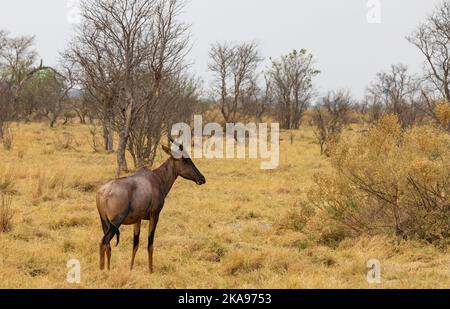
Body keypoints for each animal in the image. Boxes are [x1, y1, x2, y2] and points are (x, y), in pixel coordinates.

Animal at [97, 136, 207, 270]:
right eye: (186, 159)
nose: (202, 178)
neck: (156, 178)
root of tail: (103, 192)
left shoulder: (137, 219)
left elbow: (135, 244)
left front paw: (131, 269)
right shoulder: (155, 215)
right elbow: (150, 244)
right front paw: (151, 270)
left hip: (104, 222)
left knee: (108, 245)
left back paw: (107, 269)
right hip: (115, 223)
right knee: (104, 242)